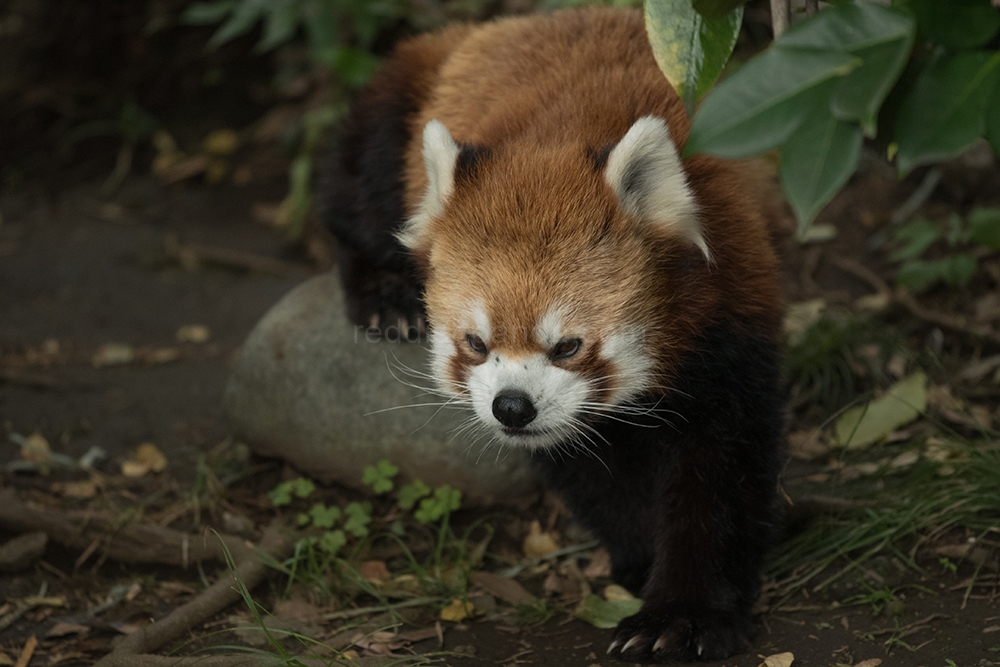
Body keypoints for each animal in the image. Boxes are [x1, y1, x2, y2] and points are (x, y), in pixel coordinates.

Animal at [324, 5, 784, 664]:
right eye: (476, 344)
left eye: (567, 346)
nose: (512, 408)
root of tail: (520, 20)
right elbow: (591, 468)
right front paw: (639, 555)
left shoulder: (729, 319)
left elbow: (719, 474)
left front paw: (683, 613)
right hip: (404, 101)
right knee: (361, 181)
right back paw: (383, 295)